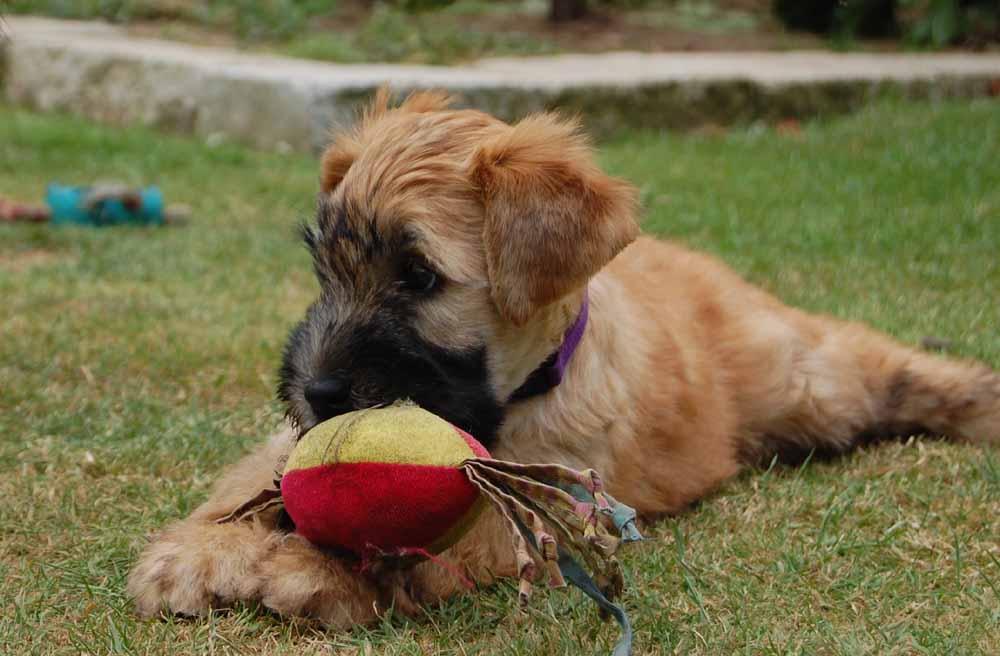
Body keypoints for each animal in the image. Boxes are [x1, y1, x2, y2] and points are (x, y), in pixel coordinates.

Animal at [125, 91, 1000, 624]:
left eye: (418, 276)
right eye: (325, 270)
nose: (317, 390)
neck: (522, 392)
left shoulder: (547, 500)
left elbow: (429, 542)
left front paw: (313, 573)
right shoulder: (289, 445)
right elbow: (252, 483)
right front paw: (199, 550)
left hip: (810, 379)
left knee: (893, 373)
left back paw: (979, 402)